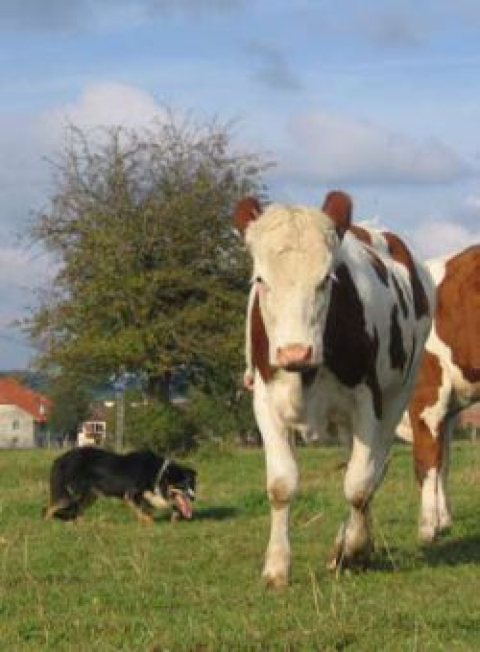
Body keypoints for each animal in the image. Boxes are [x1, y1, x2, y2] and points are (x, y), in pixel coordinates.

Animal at [43, 446, 197, 524]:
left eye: (192, 485)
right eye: (182, 485)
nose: (193, 497)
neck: (158, 473)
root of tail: (59, 459)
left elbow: (151, 510)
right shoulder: (130, 495)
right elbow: (147, 516)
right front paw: (149, 526)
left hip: (90, 496)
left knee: (77, 512)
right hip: (71, 495)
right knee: (49, 509)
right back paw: (48, 525)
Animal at [236, 191, 436, 588]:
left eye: (326, 280)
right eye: (261, 279)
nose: (295, 352)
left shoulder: (367, 401)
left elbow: (358, 483)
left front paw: (354, 550)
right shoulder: (264, 401)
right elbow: (281, 484)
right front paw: (276, 566)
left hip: (398, 395)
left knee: (373, 469)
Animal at [398, 247, 480, 544]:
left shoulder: (425, 397)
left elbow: (426, 463)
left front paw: (427, 528)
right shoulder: (448, 410)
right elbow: (444, 460)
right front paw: (444, 521)